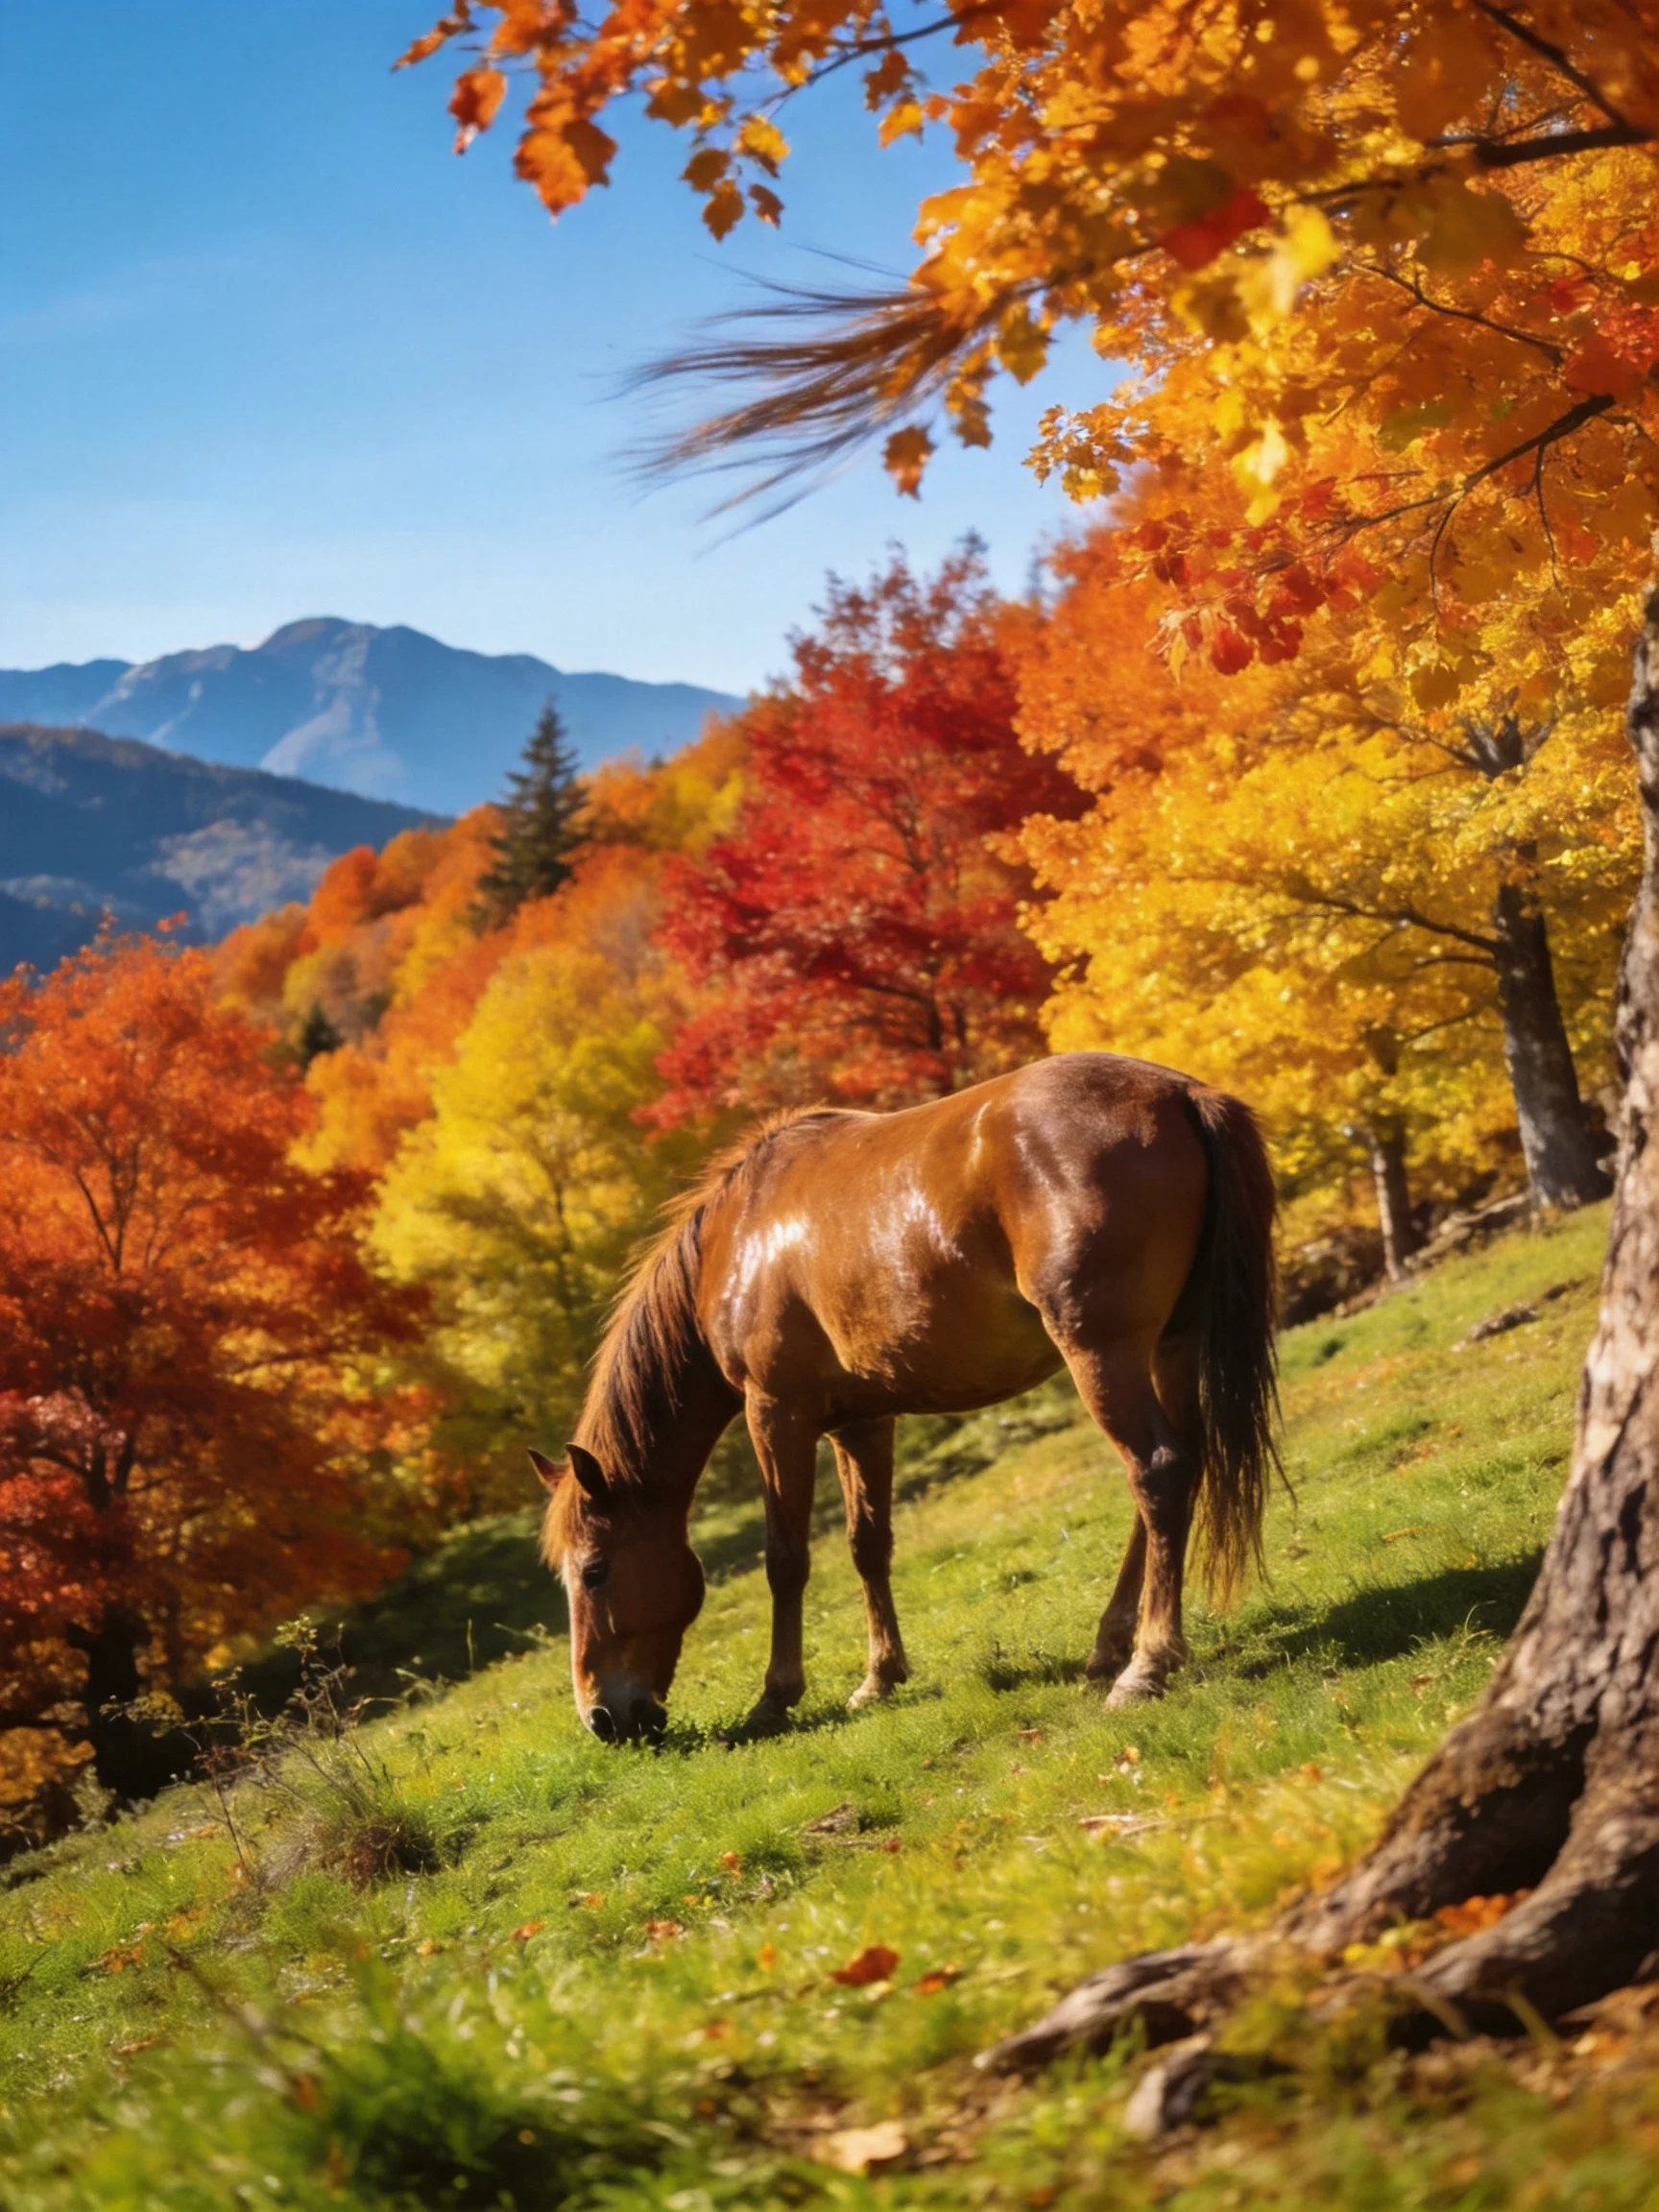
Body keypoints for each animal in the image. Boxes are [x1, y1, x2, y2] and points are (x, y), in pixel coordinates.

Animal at [530, 1051, 1278, 1744]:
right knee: (1172, 1477)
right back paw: (1110, 1646)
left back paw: (1146, 1665)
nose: (602, 1718)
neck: (736, 1240)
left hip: (1102, 1353)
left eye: (594, 1570)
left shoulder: (776, 1416)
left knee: (1158, 1471)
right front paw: (879, 1678)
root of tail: (1180, 1092)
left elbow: (786, 1559)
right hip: (1171, 1348)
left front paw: (776, 1696)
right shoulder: (861, 1423)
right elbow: (868, 1544)